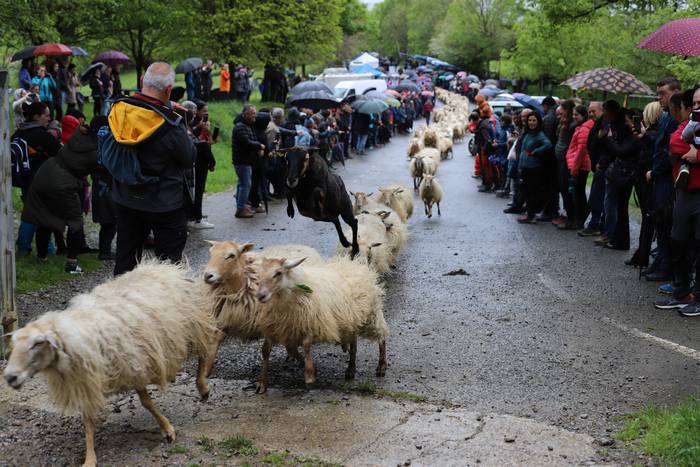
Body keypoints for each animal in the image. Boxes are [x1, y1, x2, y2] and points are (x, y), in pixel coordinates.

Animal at [2, 264, 221, 467]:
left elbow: (146, 402)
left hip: (192, 325)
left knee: (204, 351)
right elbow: (87, 420)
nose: (10, 377)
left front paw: (167, 429)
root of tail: (160, 266)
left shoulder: (134, 364)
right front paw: (90, 458)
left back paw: (203, 387)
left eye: (37, 343)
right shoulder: (87, 380)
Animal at [254, 254, 392, 394]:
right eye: (259, 274)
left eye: (278, 273)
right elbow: (266, 350)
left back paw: (381, 366)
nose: (260, 296)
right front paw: (262, 383)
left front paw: (310, 375)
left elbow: (306, 345)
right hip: (352, 319)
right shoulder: (276, 327)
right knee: (354, 343)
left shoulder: (313, 323)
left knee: (382, 337)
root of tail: (354, 263)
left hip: (371, 314)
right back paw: (351, 369)